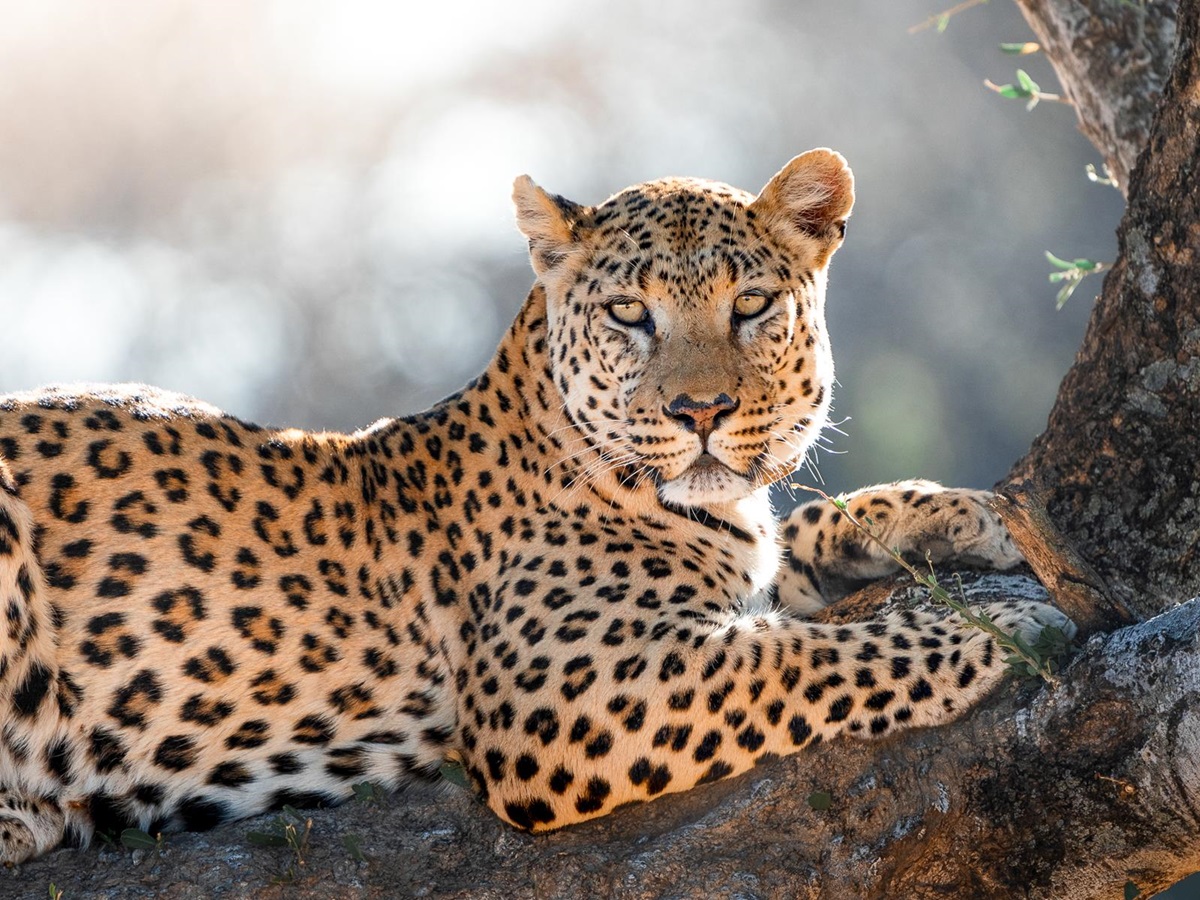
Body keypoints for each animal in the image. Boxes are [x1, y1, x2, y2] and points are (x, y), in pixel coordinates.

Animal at [0, 149, 1073, 863]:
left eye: (752, 306)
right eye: (630, 314)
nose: (701, 412)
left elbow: (805, 539)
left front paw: (970, 515)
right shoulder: (565, 688)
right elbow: (805, 659)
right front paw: (996, 629)